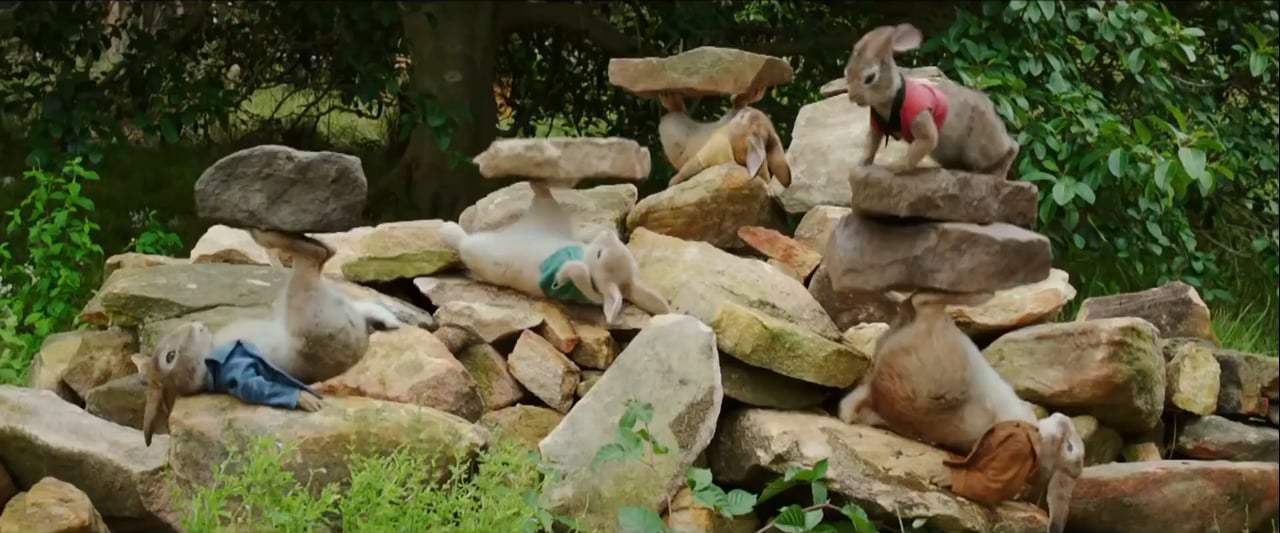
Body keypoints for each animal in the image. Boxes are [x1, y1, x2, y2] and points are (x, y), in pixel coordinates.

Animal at [845, 23, 1019, 178]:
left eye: (870, 78)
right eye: (846, 72)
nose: (852, 97)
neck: (894, 95)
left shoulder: (920, 119)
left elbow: (922, 144)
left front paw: (896, 167)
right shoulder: (876, 127)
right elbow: (871, 145)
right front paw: (861, 164)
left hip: (981, 149)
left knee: (1012, 148)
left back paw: (998, 173)